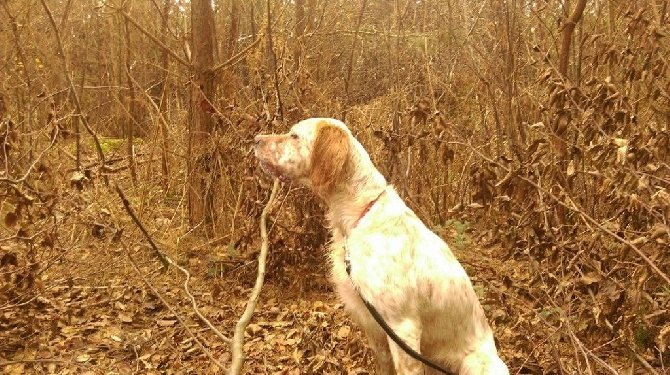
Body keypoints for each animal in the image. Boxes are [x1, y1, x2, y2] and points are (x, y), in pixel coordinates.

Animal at [255, 119, 512, 374]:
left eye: (294, 136)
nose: (256, 139)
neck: (361, 214)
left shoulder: (402, 328)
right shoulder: (375, 328)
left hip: (478, 363)